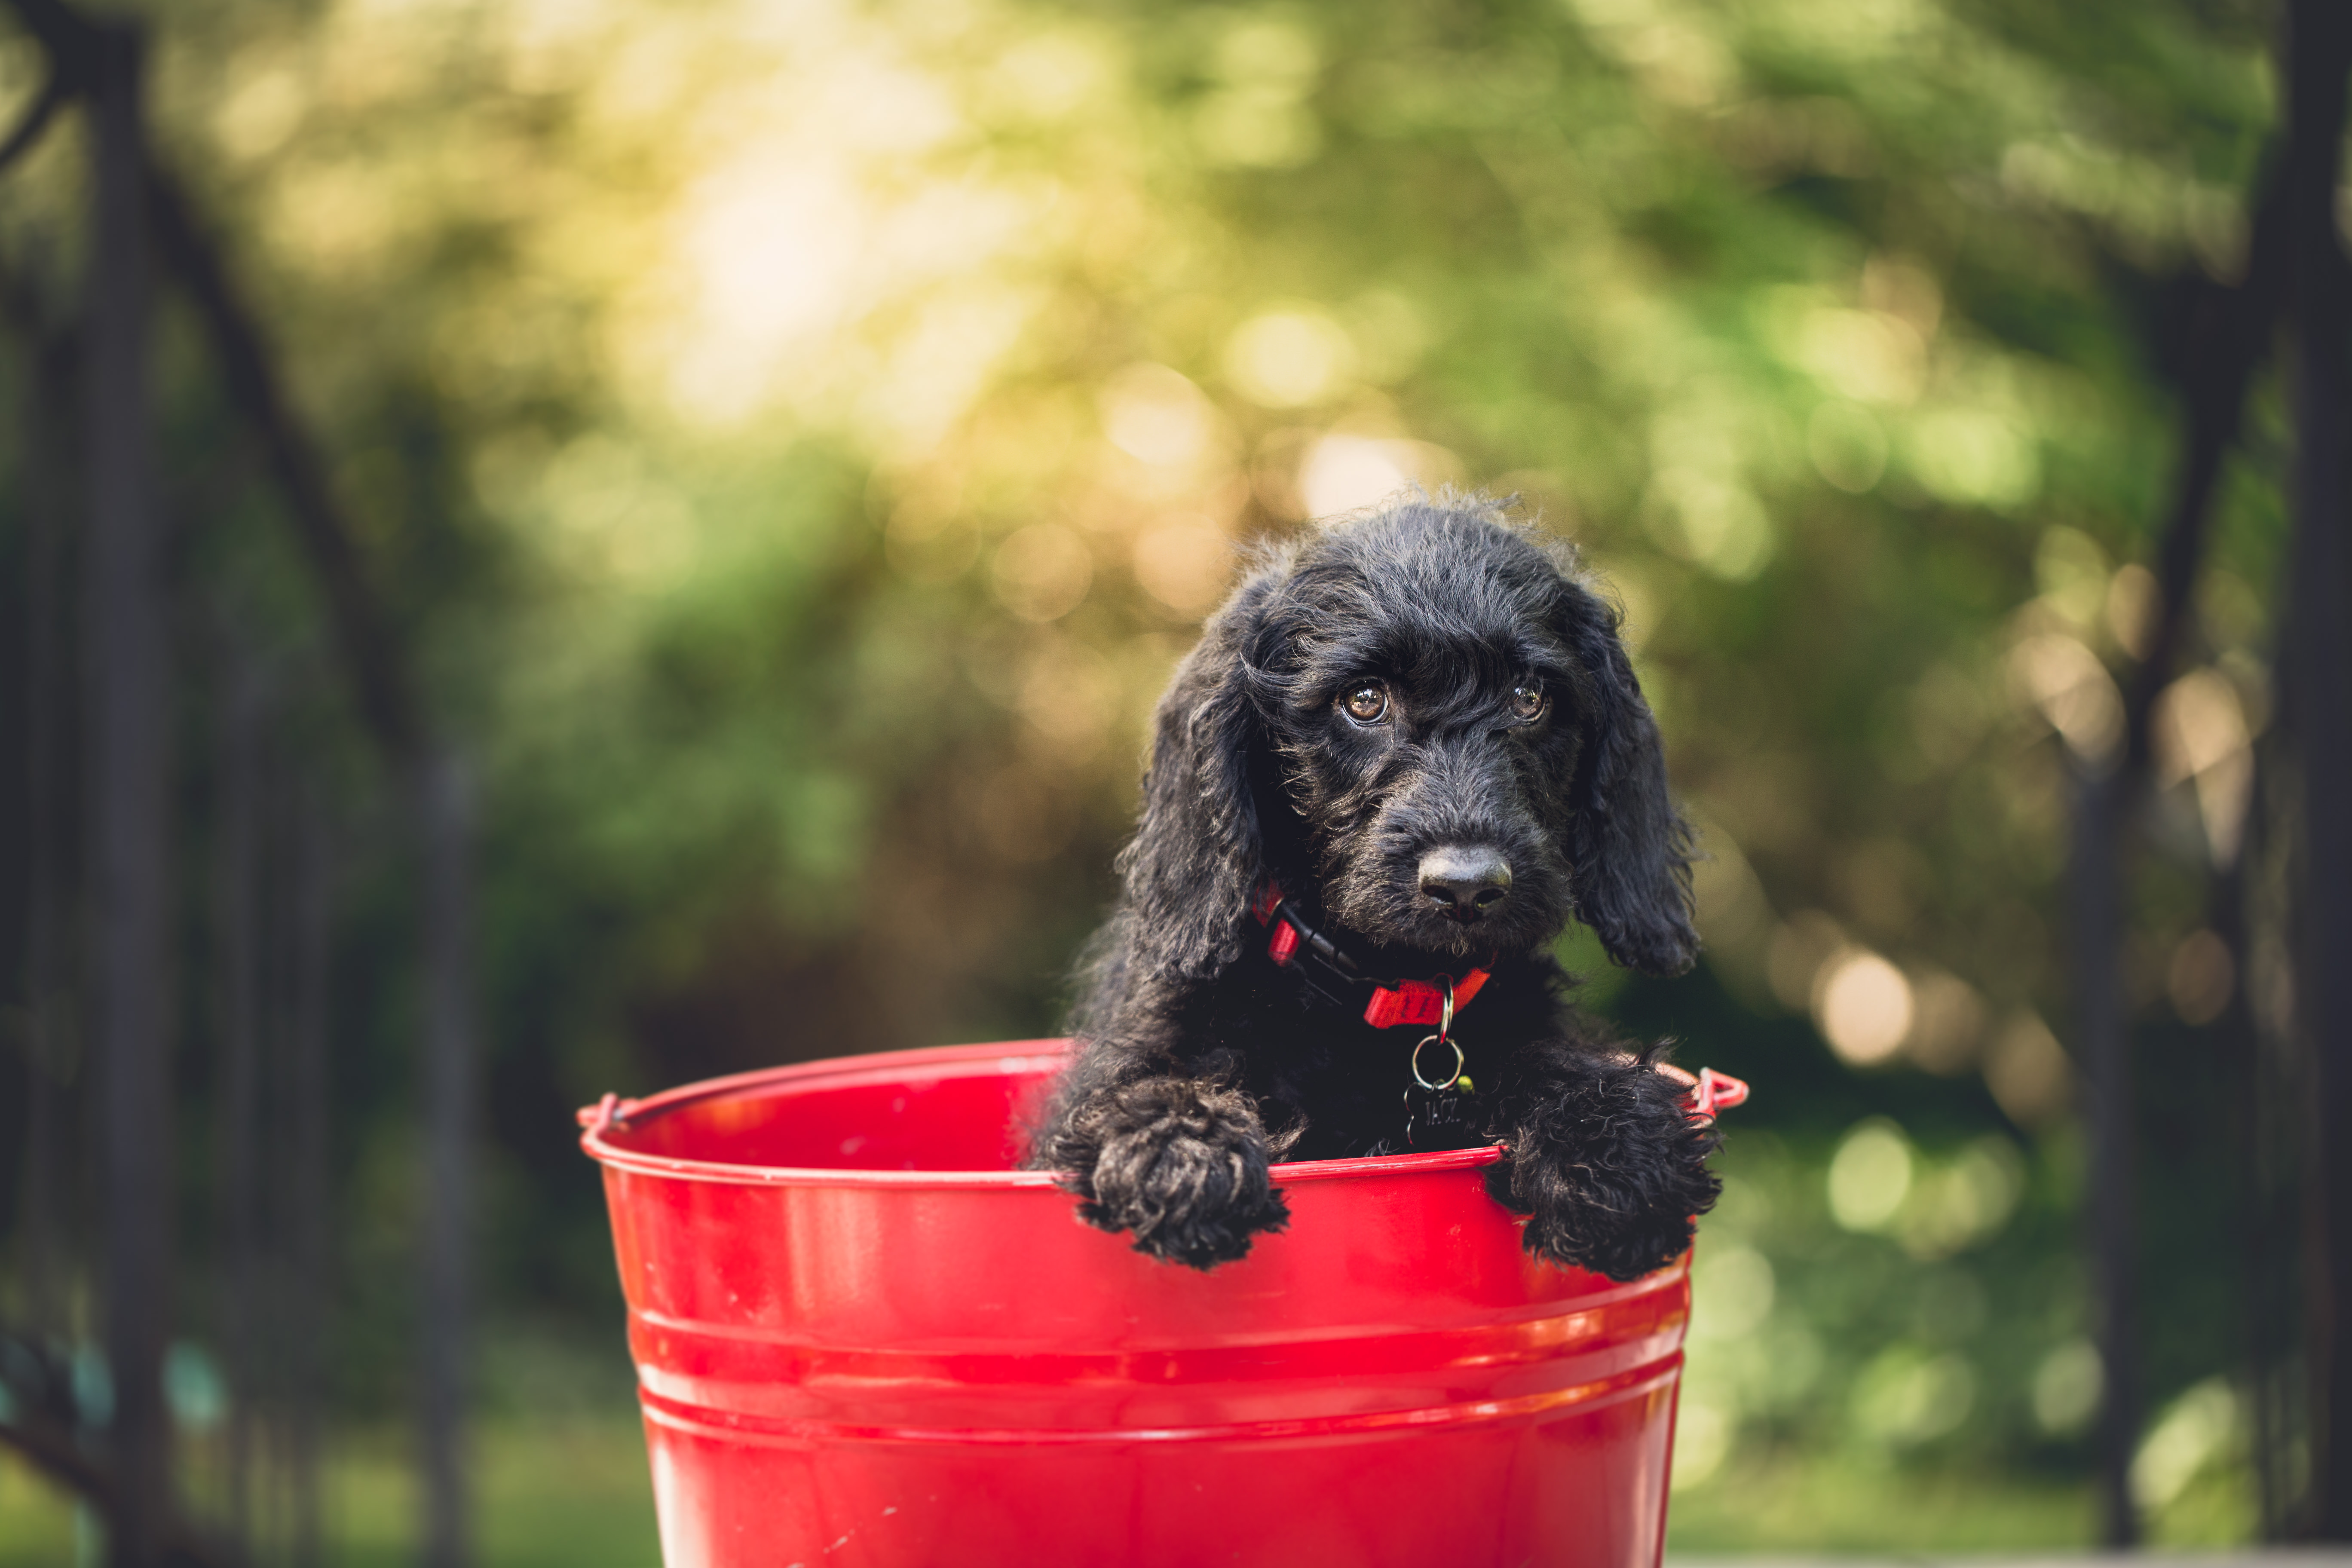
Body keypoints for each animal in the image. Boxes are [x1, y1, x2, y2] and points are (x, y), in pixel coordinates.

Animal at [1039, 496, 1721, 1279]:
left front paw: (1613, 1142)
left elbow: (1550, 1058)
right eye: (1363, 700)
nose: (1468, 887)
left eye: (1530, 698)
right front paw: (1180, 1150)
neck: (1374, 993)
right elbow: (1147, 1083)